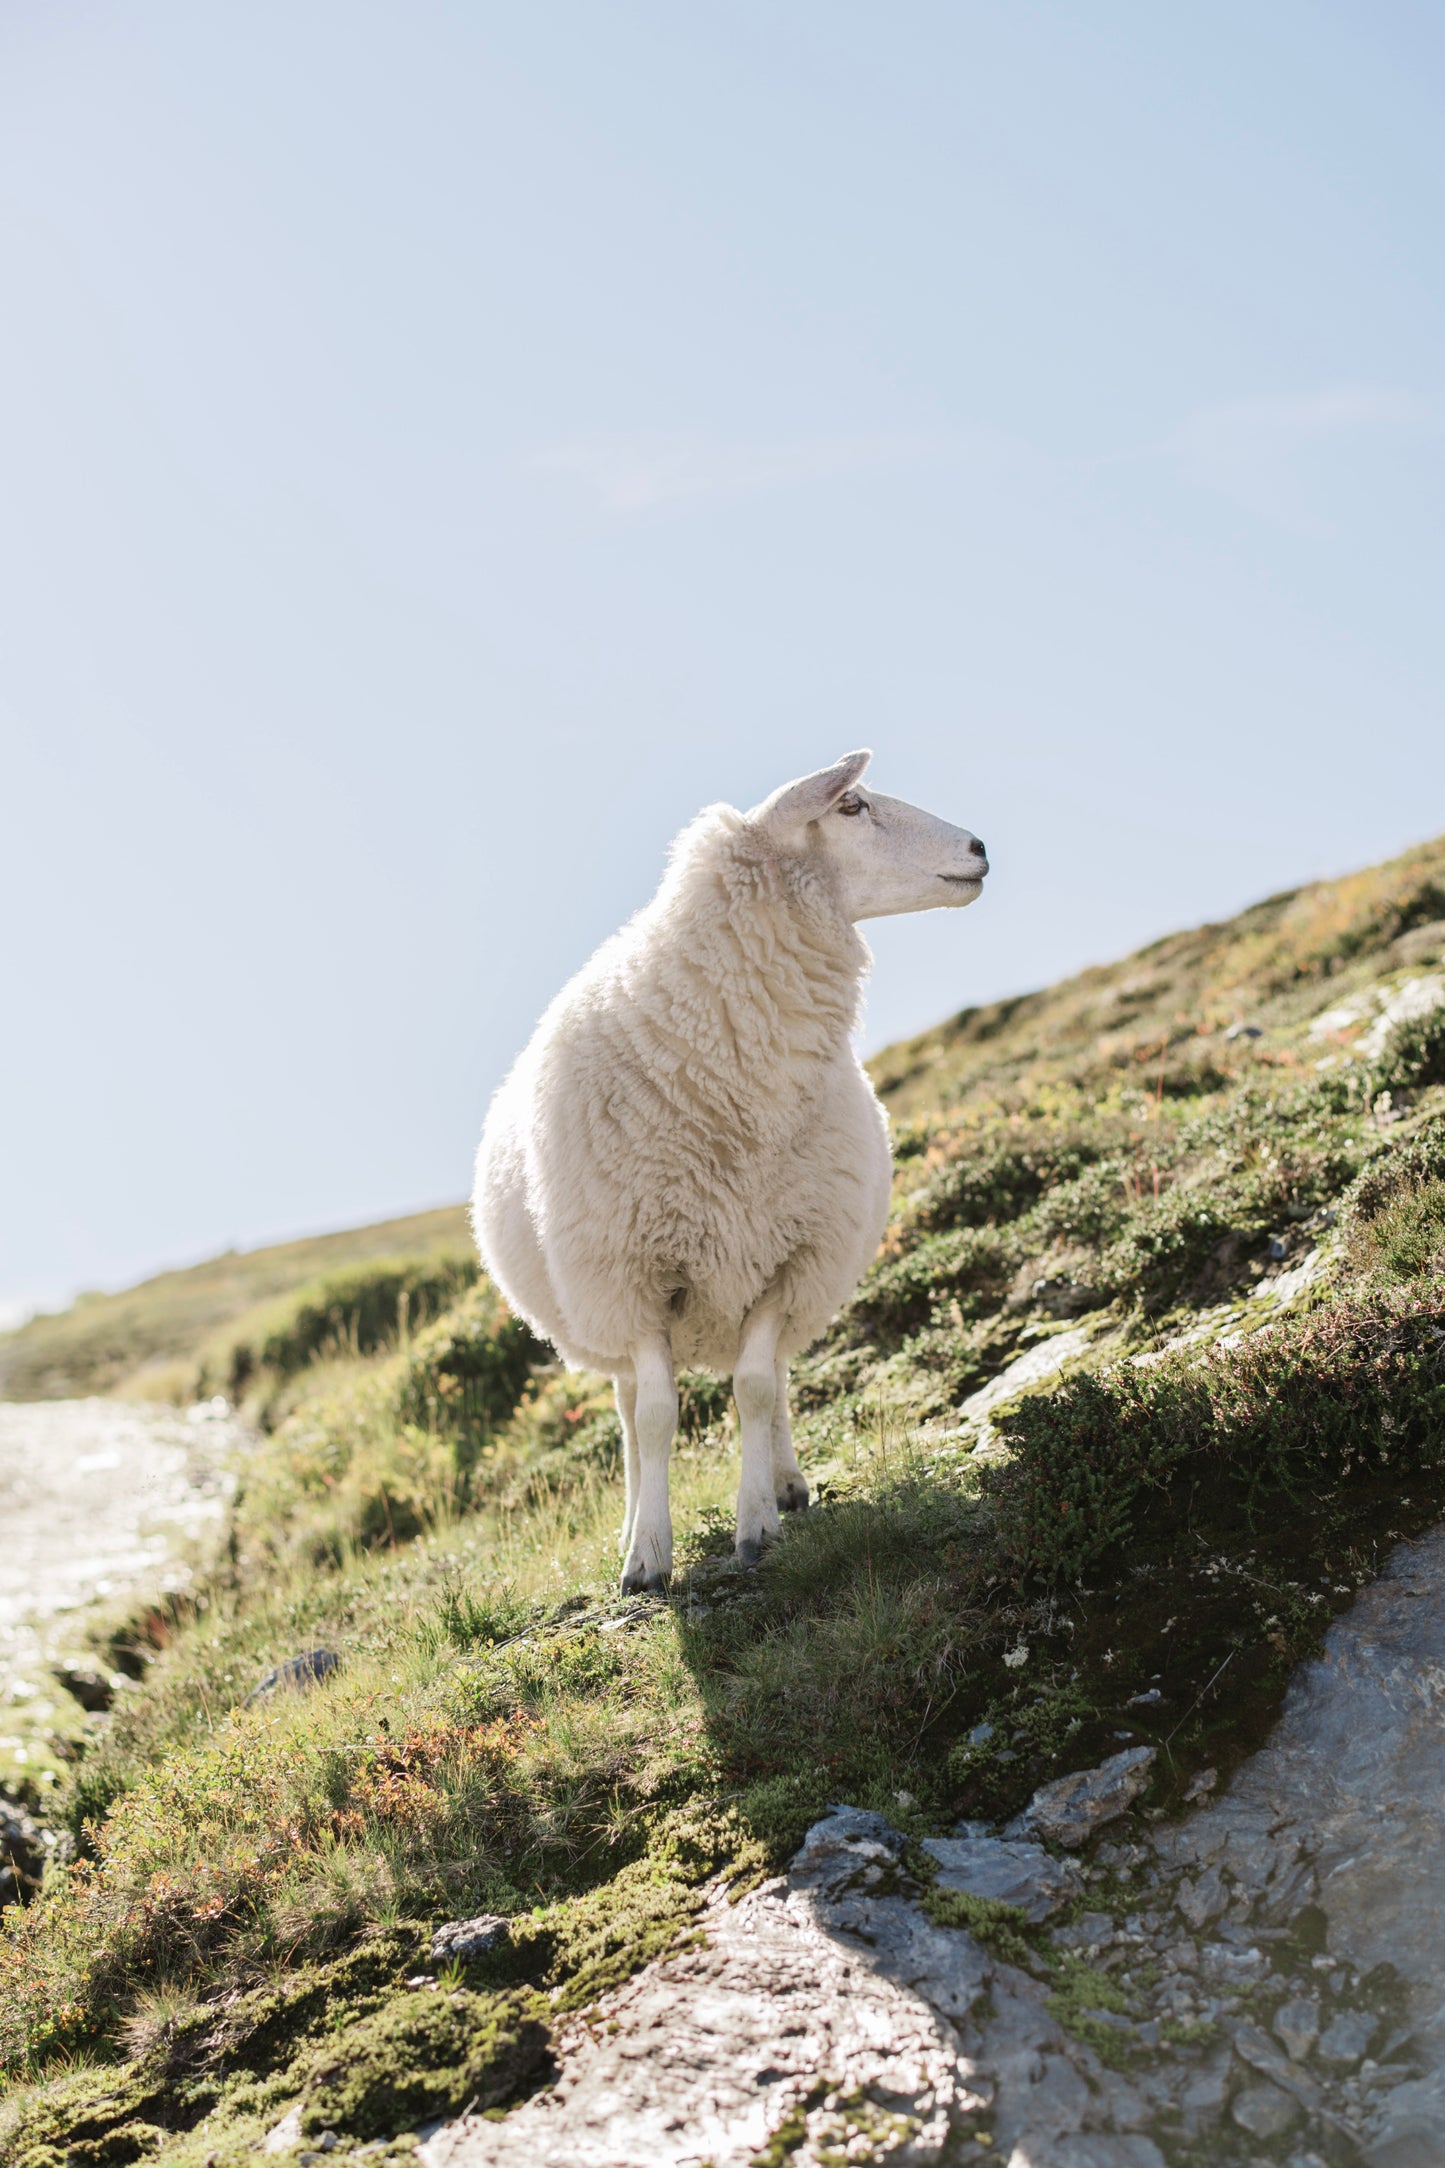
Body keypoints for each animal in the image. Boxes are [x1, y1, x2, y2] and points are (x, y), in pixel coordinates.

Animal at [472, 751, 988, 1593]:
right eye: (850, 805)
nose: (978, 848)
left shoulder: (790, 1257)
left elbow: (754, 1389)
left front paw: (756, 1527)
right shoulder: (635, 1277)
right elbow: (655, 1419)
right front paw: (647, 1558)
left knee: (770, 1382)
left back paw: (785, 1483)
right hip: (600, 1308)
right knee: (628, 1413)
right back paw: (632, 1522)